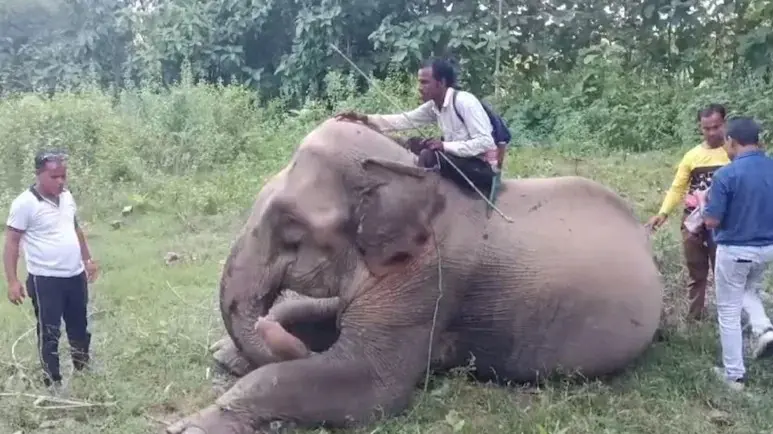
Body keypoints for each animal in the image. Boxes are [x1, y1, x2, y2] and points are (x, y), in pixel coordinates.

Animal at [167, 117, 664, 434]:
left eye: (291, 227)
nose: (269, 337)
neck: (409, 175)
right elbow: (325, 314)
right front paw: (226, 355)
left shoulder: (430, 278)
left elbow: (371, 386)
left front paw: (189, 426)